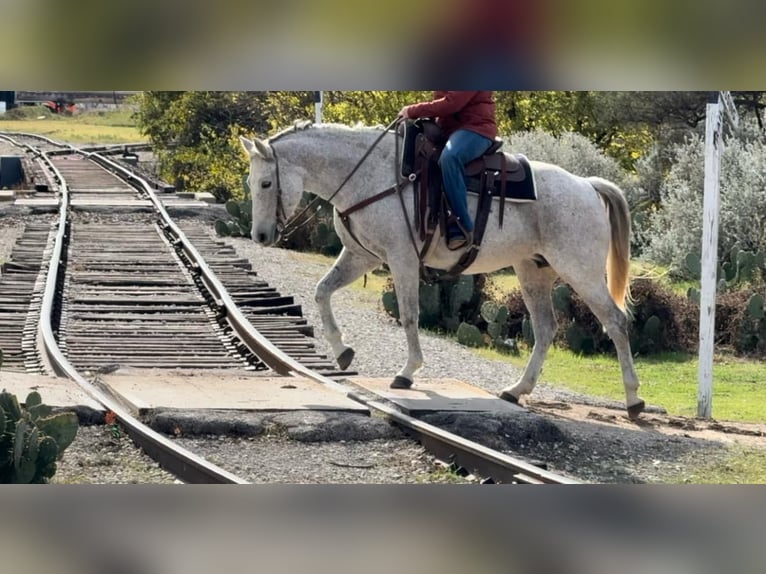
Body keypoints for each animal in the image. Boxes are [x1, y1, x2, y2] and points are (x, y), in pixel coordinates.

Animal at [242, 121, 648, 418]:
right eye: (250, 182)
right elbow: (322, 291)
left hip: (580, 271)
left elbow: (409, 315)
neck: (369, 175)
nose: (260, 235)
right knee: (546, 328)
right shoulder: (361, 256)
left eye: (266, 182)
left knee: (615, 321)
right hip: (534, 272)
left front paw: (407, 372)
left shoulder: (401, 258)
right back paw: (517, 390)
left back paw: (633, 400)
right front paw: (342, 351)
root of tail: (586, 185)